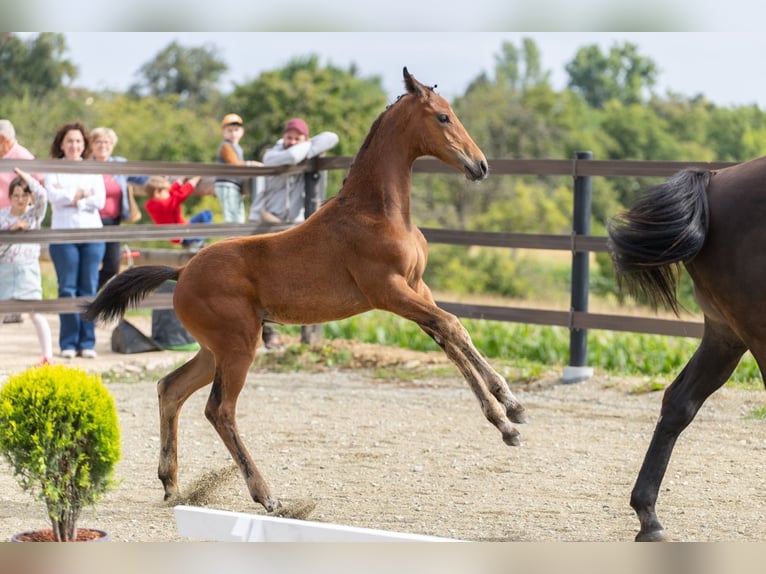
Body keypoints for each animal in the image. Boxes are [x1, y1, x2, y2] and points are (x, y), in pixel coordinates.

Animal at [84, 67, 527, 512]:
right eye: (442, 117)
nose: (480, 165)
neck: (377, 211)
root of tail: (182, 270)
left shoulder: (418, 287)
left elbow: (451, 338)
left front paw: (508, 415)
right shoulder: (388, 292)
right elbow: (452, 326)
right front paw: (508, 409)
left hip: (214, 351)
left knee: (170, 389)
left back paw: (172, 486)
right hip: (238, 346)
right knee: (219, 410)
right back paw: (266, 495)